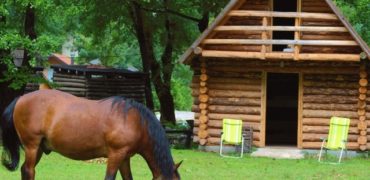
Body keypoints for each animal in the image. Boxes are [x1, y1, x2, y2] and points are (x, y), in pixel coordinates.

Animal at [0, 90, 182, 180]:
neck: (135, 121)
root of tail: (20, 98)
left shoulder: (124, 158)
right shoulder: (116, 155)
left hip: (38, 149)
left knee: (25, 170)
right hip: (32, 146)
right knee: (29, 171)